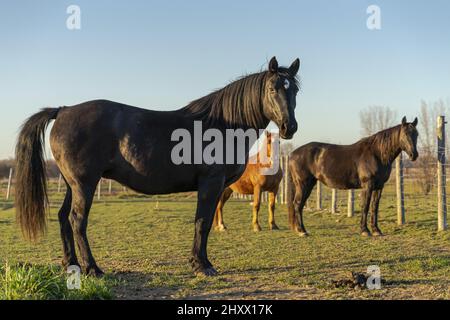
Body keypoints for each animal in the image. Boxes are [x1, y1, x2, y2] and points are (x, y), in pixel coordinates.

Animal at [14, 56, 300, 276]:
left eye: (294, 90)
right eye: (273, 89)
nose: (289, 127)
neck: (221, 125)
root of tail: (63, 110)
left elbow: (205, 222)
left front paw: (199, 262)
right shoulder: (211, 184)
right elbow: (203, 222)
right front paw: (202, 266)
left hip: (71, 184)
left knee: (63, 217)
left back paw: (71, 264)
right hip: (84, 184)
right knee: (77, 220)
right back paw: (93, 269)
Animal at [288, 117, 418, 238]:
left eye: (416, 134)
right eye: (405, 134)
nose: (414, 155)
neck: (376, 154)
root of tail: (292, 154)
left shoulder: (379, 186)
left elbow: (374, 207)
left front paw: (376, 230)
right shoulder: (367, 185)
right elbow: (365, 206)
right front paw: (365, 231)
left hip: (308, 184)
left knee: (300, 205)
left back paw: (301, 230)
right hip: (303, 184)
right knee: (297, 204)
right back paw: (302, 231)